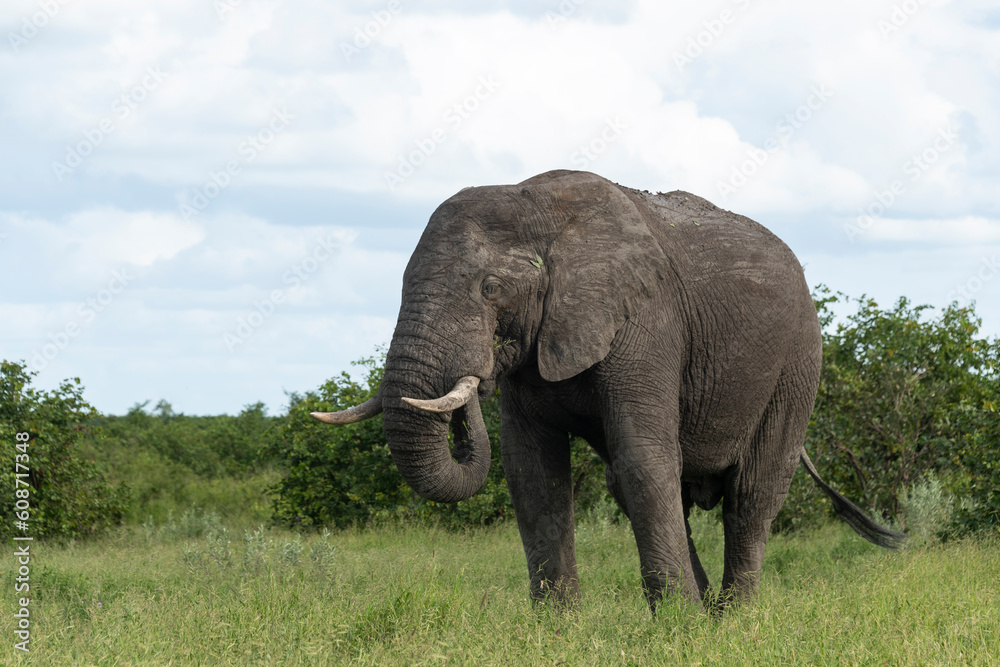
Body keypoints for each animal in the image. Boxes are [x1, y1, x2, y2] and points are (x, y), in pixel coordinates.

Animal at [314, 170, 908, 612]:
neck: (537, 205)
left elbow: (643, 460)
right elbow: (533, 474)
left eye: (490, 288)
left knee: (753, 493)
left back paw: (731, 620)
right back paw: (707, 611)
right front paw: (556, 631)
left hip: (799, 363)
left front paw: (677, 631)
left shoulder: (647, 319)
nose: (480, 370)